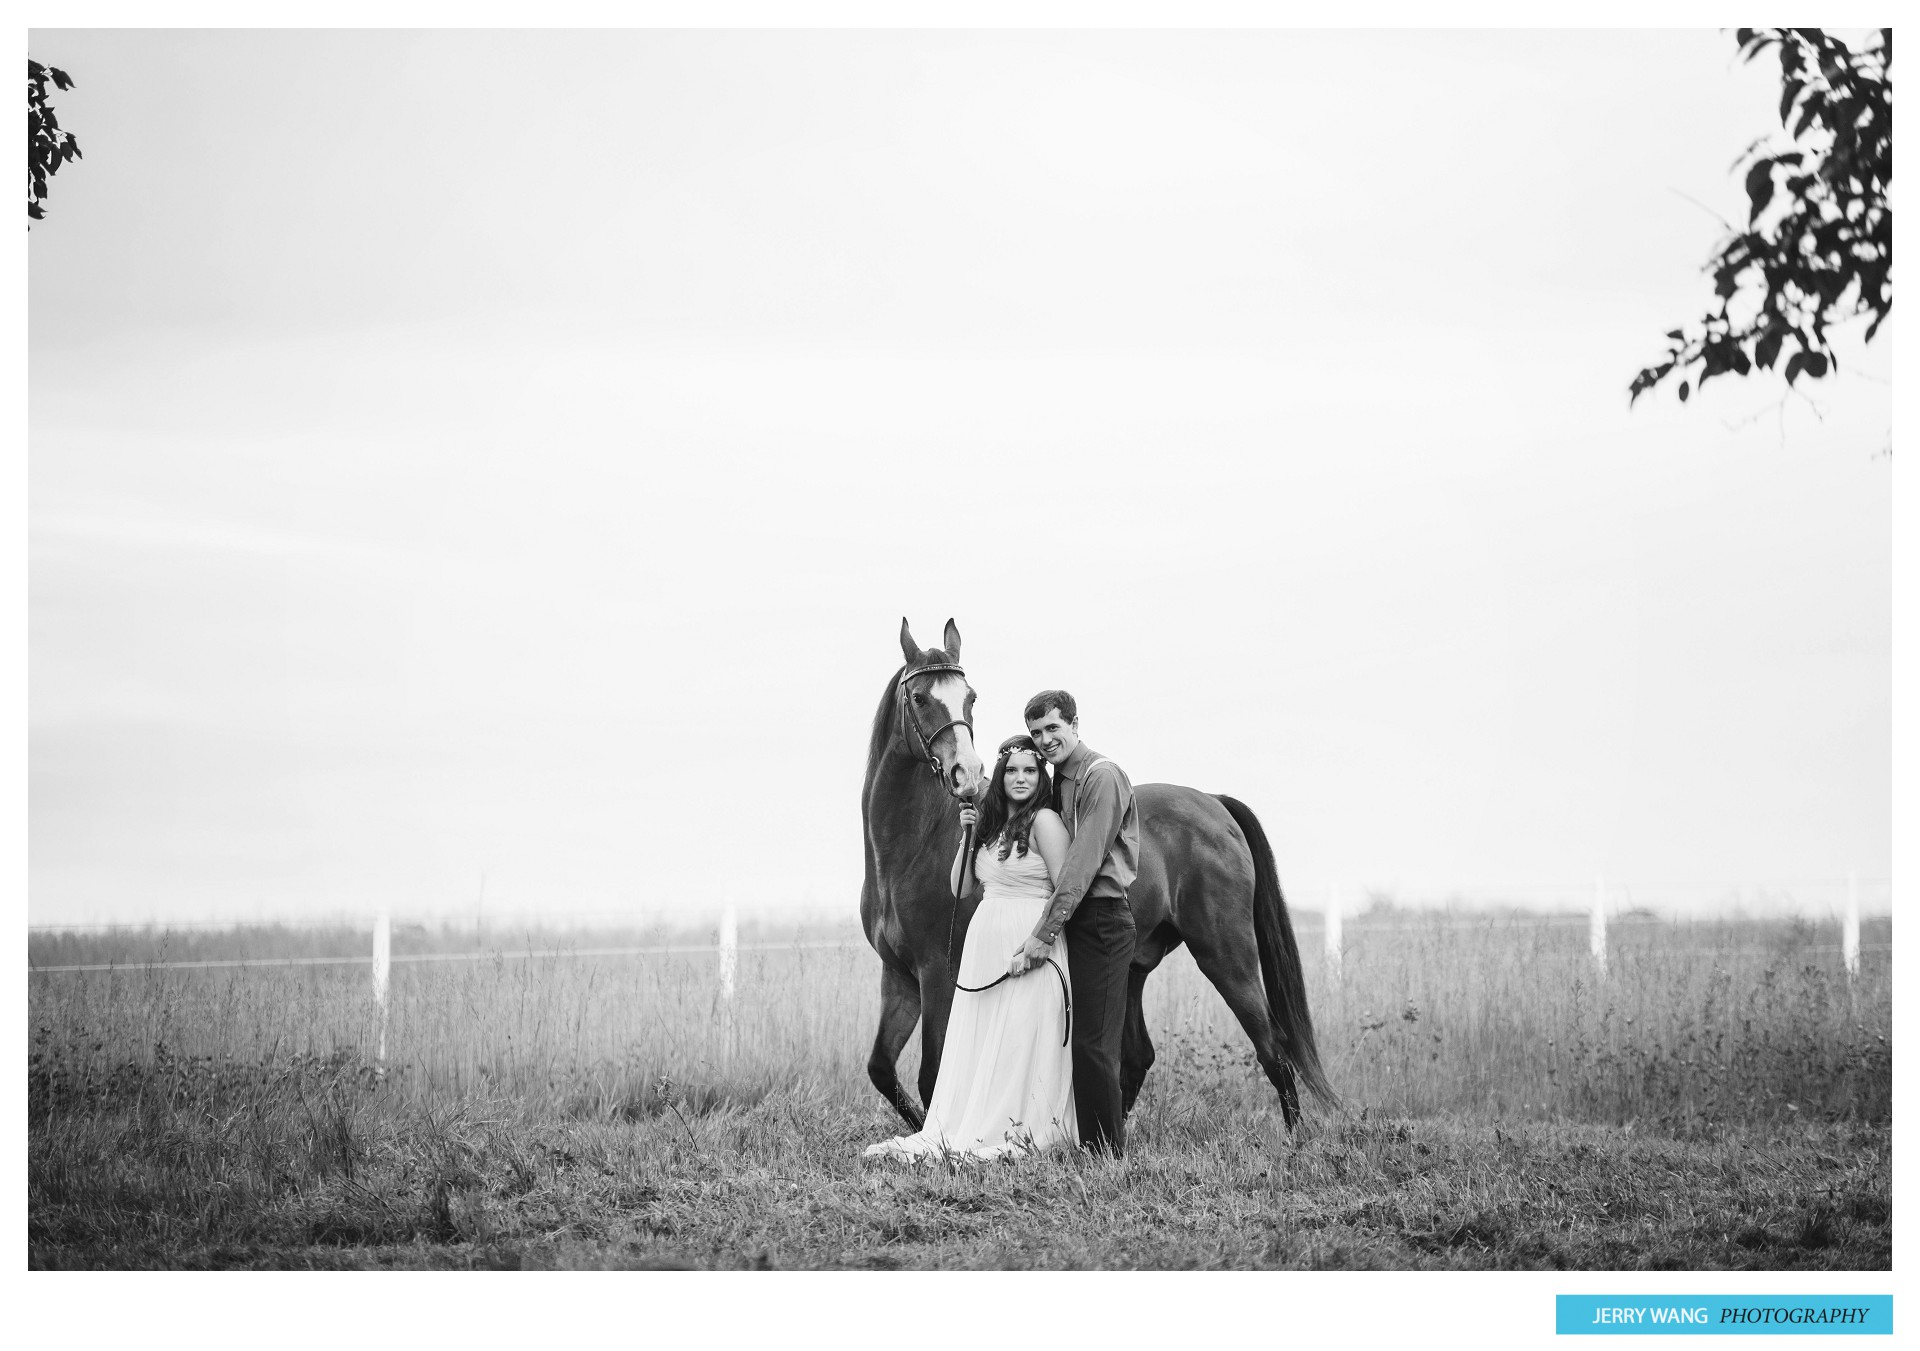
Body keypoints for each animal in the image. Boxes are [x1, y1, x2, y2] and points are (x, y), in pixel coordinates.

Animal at [864, 617, 1328, 1136]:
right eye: (920, 697)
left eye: (971, 697)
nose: (967, 772)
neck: (911, 847)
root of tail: (1213, 803)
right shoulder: (899, 977)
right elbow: (881, 1068)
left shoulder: (937, 975)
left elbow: (932, 1074)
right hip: (1133, 967)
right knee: (1137, 1057)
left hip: (1228, 955)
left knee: (1273, 1049)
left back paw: (1294, 1142)